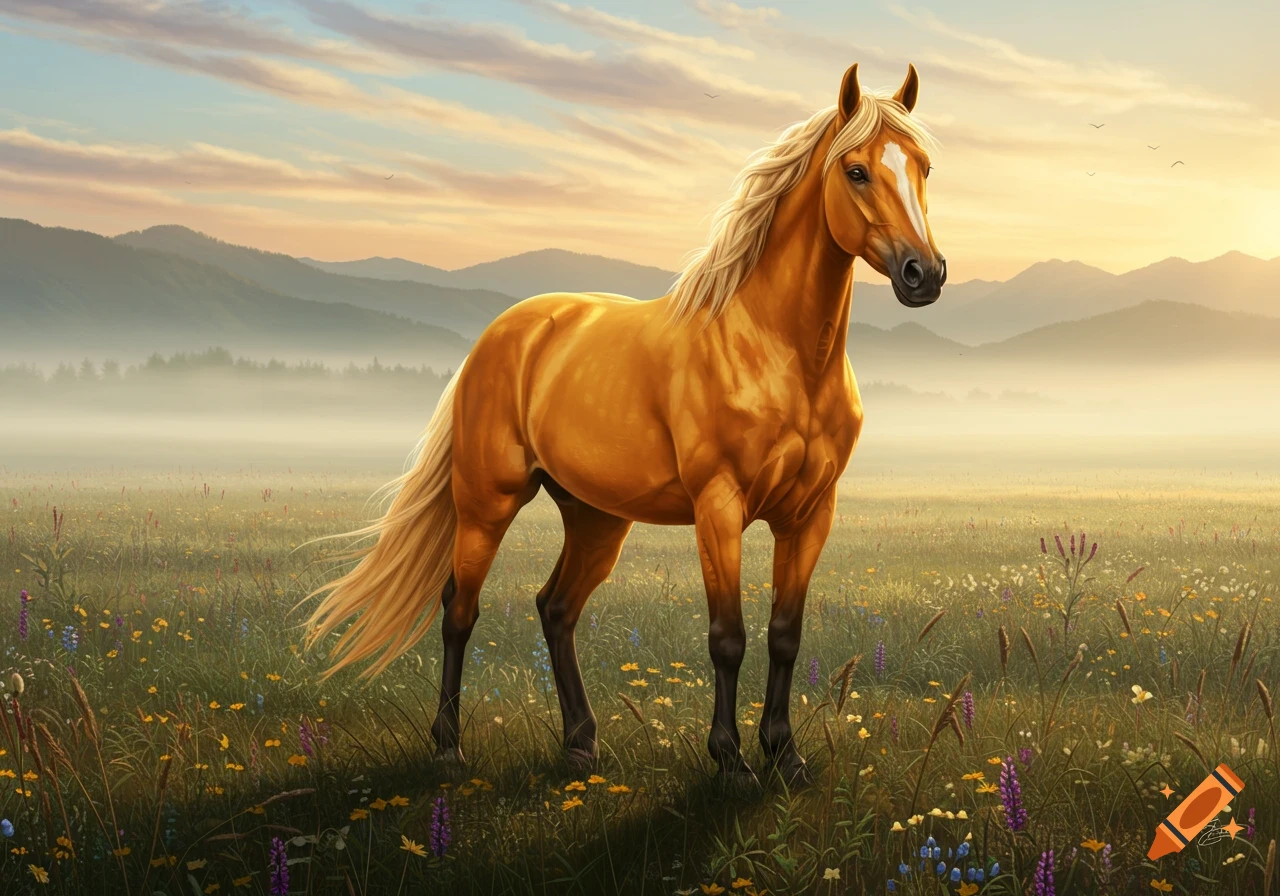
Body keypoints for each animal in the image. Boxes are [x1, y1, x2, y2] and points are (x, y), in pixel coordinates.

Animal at [305, 62, 946, 784]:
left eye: (923, 166)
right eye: (857, 170)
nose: (924, 274)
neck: (773, 350)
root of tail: (504, 333)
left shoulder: (810, 513)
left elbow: (785, 634)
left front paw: (785, 756)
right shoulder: (718, 507)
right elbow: (728, 637)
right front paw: (730, 762)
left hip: (595, 516)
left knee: (555, 608)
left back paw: (581, 743)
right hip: (486, 504)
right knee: (458, 610)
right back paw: (448, 748)